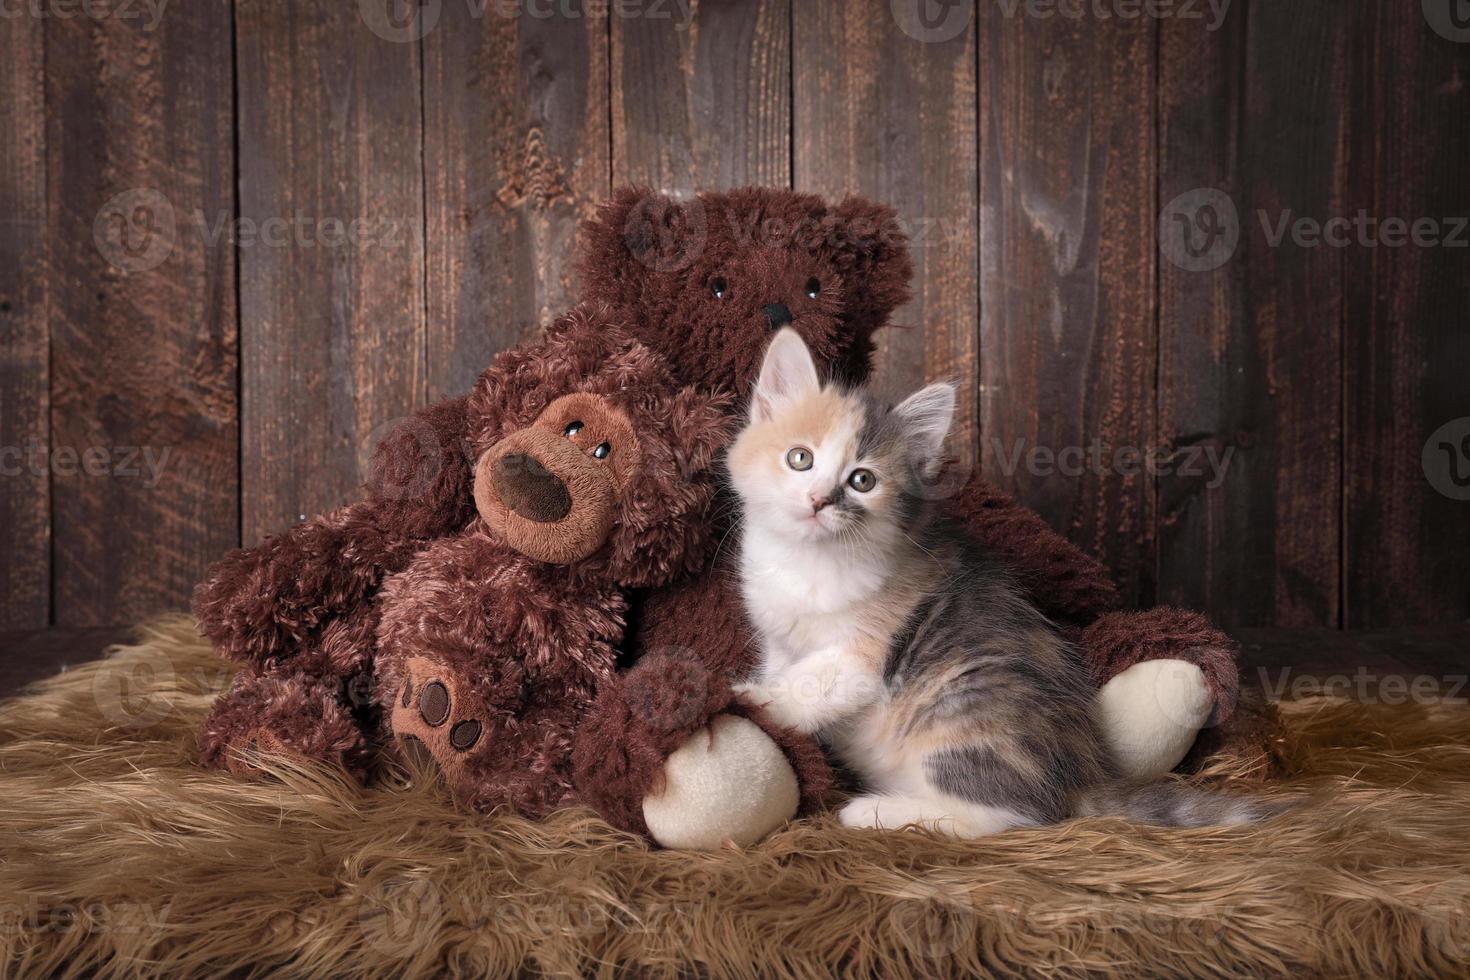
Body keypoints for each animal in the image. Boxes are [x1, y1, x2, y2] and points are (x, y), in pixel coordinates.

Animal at [729, 329, 1270, 834]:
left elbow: (813, 681)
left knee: (1010, 815)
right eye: (800, 458)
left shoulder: (866, 651)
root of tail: (1079, 777)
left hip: (964, 707)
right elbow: (785, 666)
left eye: (862, 481)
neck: (809, 560)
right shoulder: (777, 637)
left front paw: (759, 698)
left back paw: (877, 811)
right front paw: (766, 697)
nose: (819, 500)